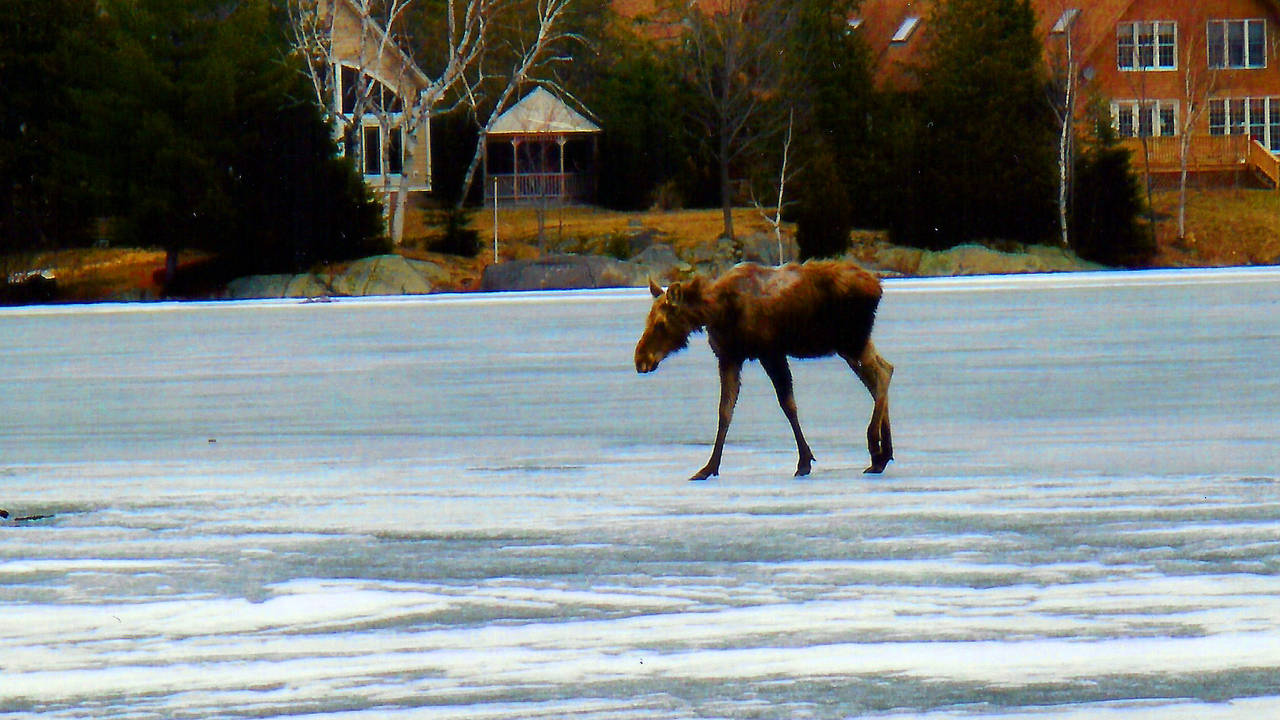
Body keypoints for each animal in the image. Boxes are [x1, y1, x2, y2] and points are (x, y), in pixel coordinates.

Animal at [635, 260, 893, 480]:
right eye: (647, 318)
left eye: (661, 323)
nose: (640, 360)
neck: (717, 311)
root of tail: (878, 287)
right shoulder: (729, 357)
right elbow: (724, 411)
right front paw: (709, 467)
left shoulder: (771, 352)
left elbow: (788, 404)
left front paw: (804, 461)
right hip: (851, 344)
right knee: (884, 370)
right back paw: (883, 455)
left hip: (852, 342)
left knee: (882, 375)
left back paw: (875, 447)